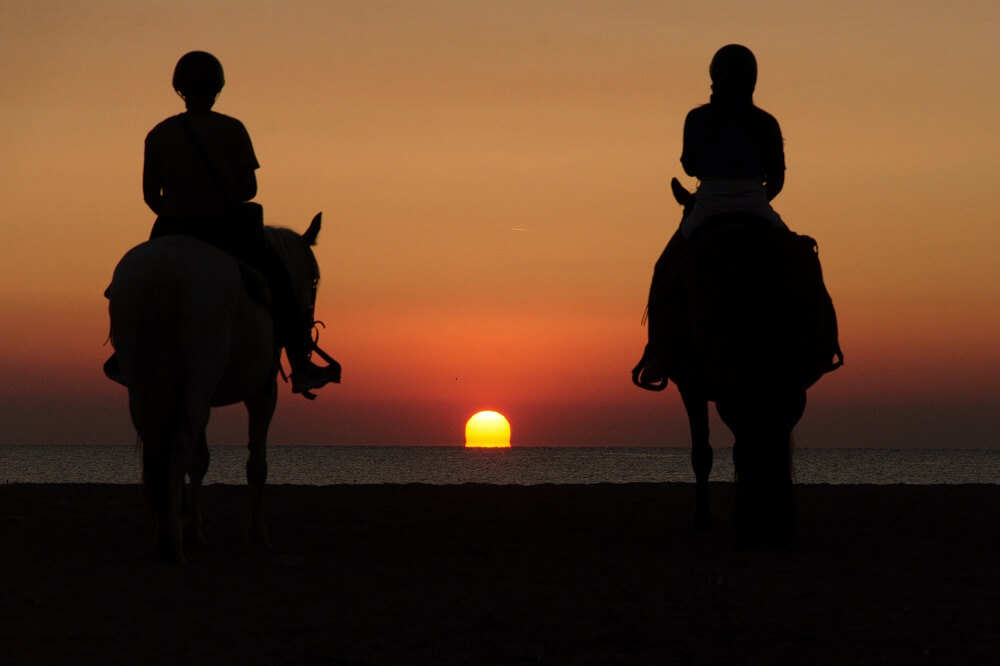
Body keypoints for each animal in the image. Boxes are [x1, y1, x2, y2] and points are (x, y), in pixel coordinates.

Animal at [107, 213, 336, 560]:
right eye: (314, 280)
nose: (308, 323)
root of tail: (165, 267)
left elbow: (200, 461)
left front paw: (194, 531)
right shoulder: (263, 393)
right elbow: (257, 465)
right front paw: (258, 536)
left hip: (148, 388)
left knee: (158, 446)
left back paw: (165, 532)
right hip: (195, 384)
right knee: (176, 448)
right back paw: (171, 548)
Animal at [632, 179, 844, 544]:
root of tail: (754, 249)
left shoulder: (690, 385)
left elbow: (702, 452)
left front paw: (703, 519)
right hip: (787, 380)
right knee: (771, 434)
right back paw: (774, 519)